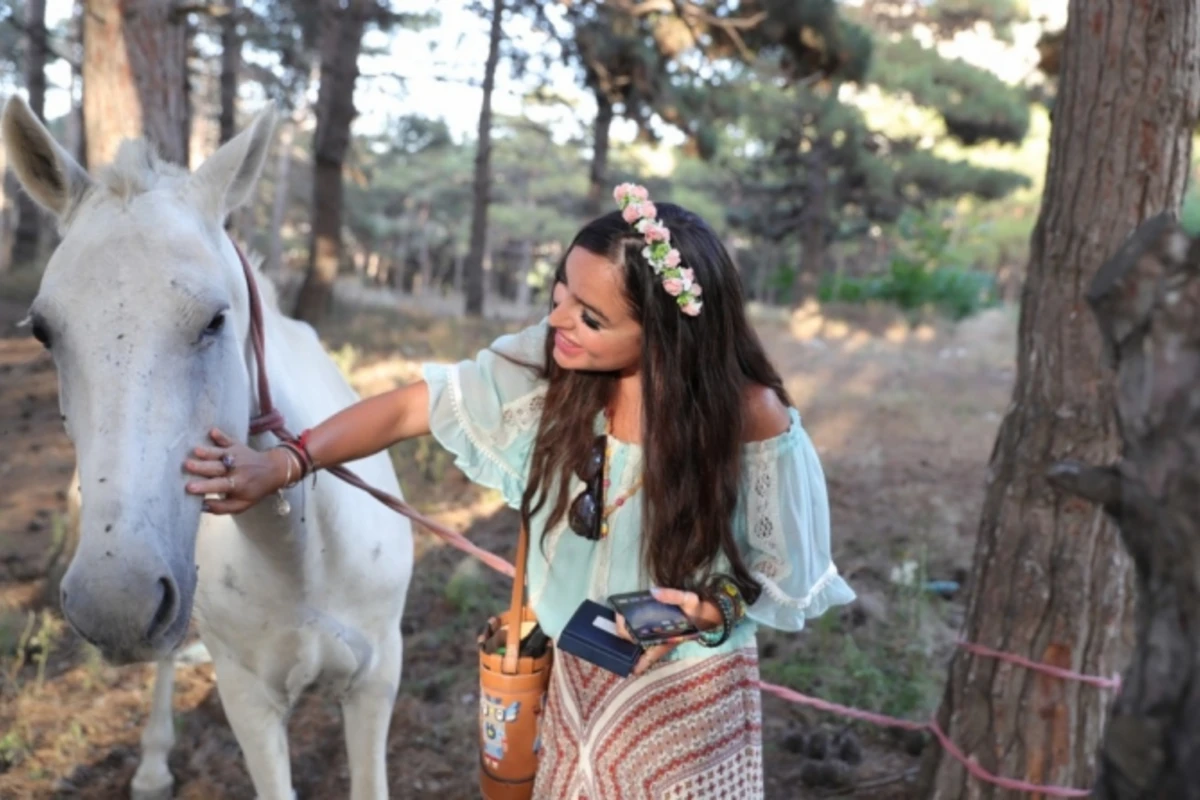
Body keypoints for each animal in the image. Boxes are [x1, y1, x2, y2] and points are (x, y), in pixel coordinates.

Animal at [1, 97, 412, 796]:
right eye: (44, 333)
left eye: (217, 320)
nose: (115, 604)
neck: (302, 556)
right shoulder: (249, 702)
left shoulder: (376, 681)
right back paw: (152, 764)